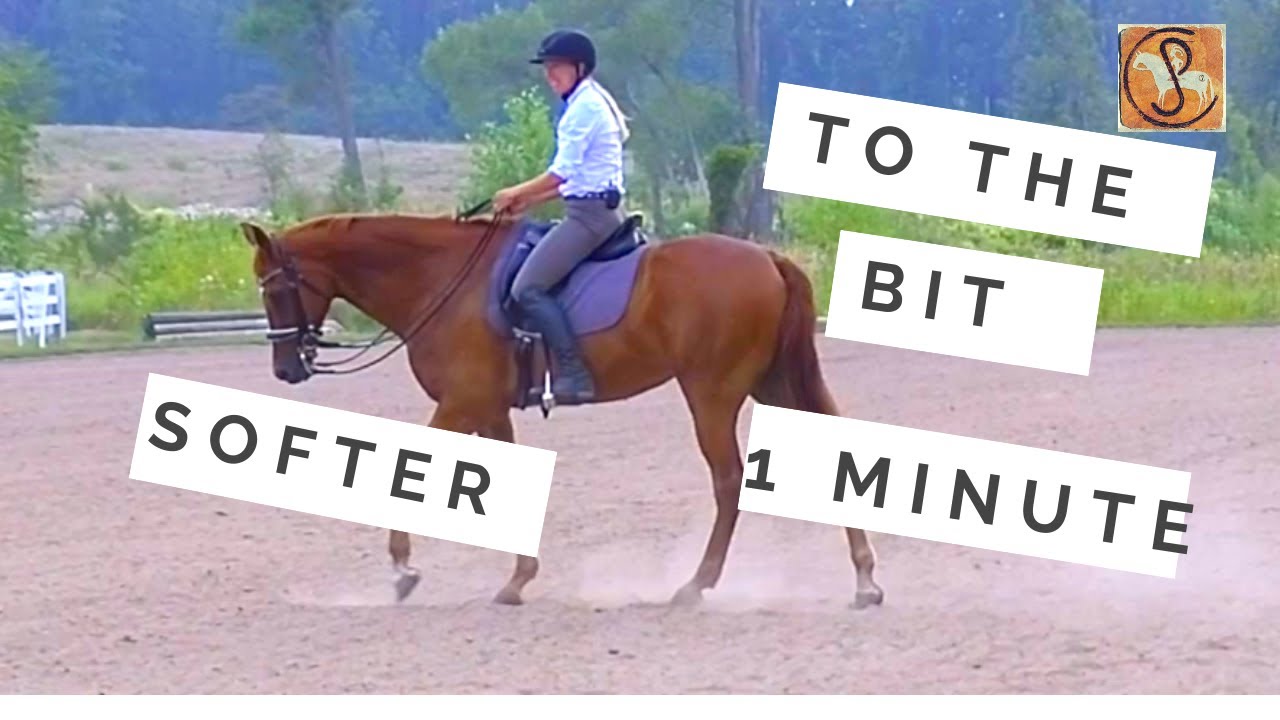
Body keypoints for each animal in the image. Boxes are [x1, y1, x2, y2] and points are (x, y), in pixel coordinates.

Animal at [239, 210, 885, 609]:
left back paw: (696, 585)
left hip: (712, 392)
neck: (440, 280)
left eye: (276, 289)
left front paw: (402, 572)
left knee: (728, 482)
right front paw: (517, 580)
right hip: (772, 384)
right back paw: (863, 579)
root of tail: (768, 258)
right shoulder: (490, 409)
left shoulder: (461, 403)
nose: (285, 368)